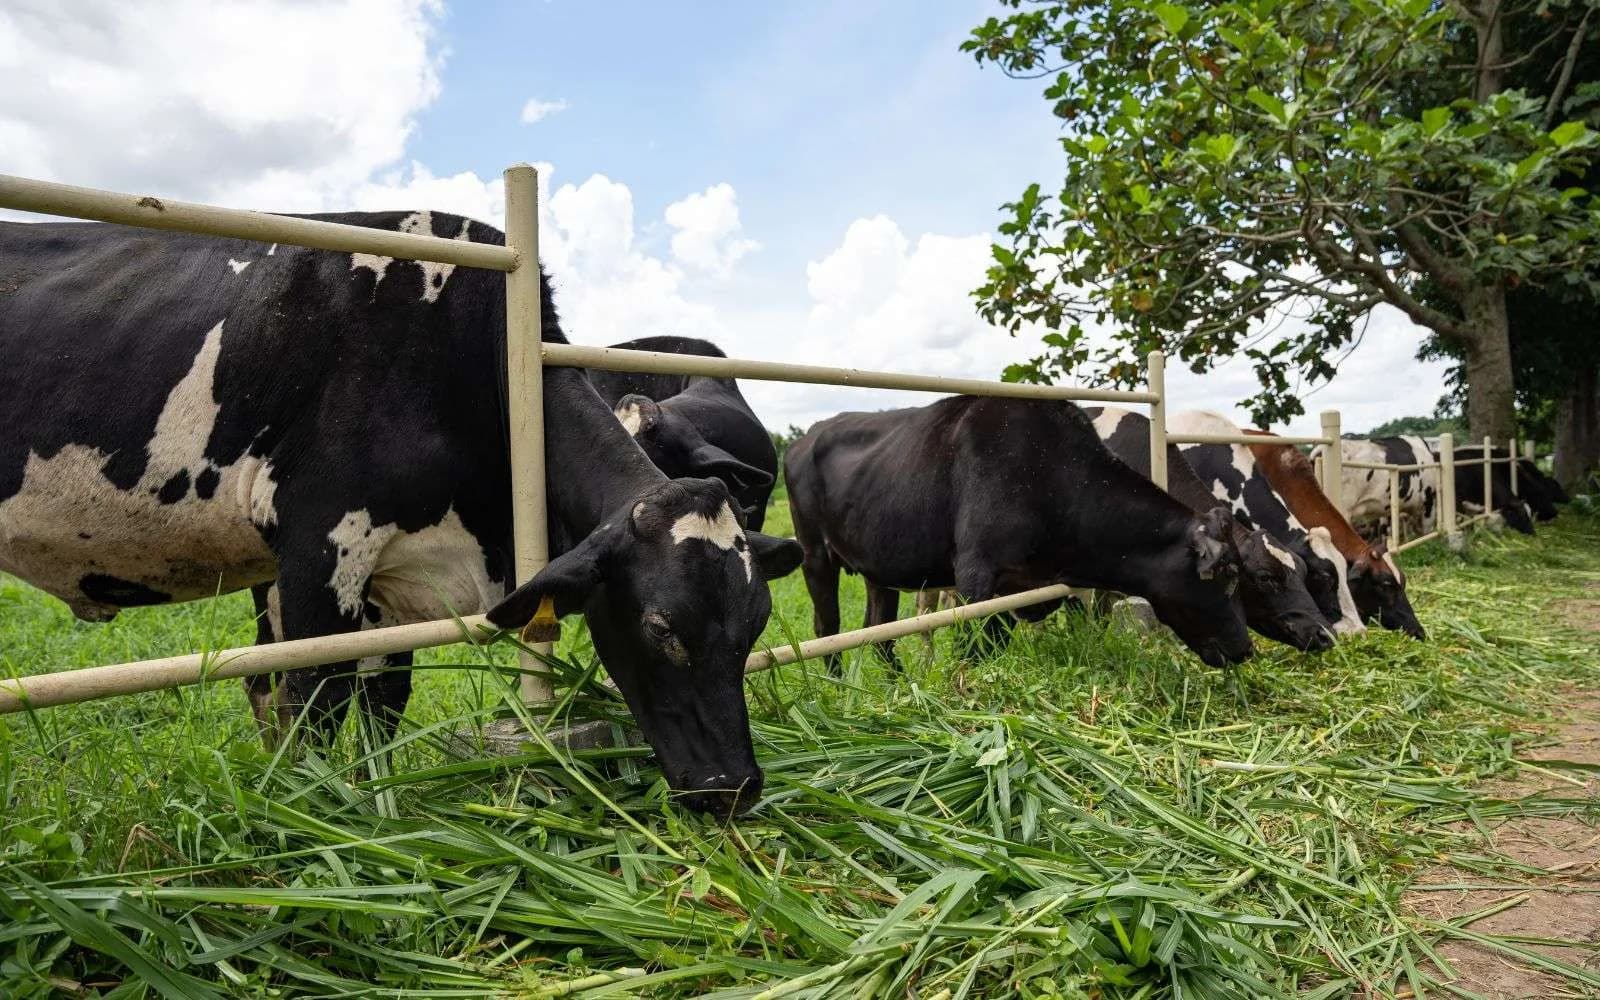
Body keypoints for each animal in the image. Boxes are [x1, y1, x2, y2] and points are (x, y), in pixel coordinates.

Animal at [784, 397, 1255, 673]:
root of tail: (806, 437)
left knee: (878, 631)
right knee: (827, 627)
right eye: (1228, 577)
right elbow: (973, 649)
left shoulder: (1024, 590)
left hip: (877, 568)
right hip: (814, 554)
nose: (1246, 649)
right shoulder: (975, 577)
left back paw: (897, 686)